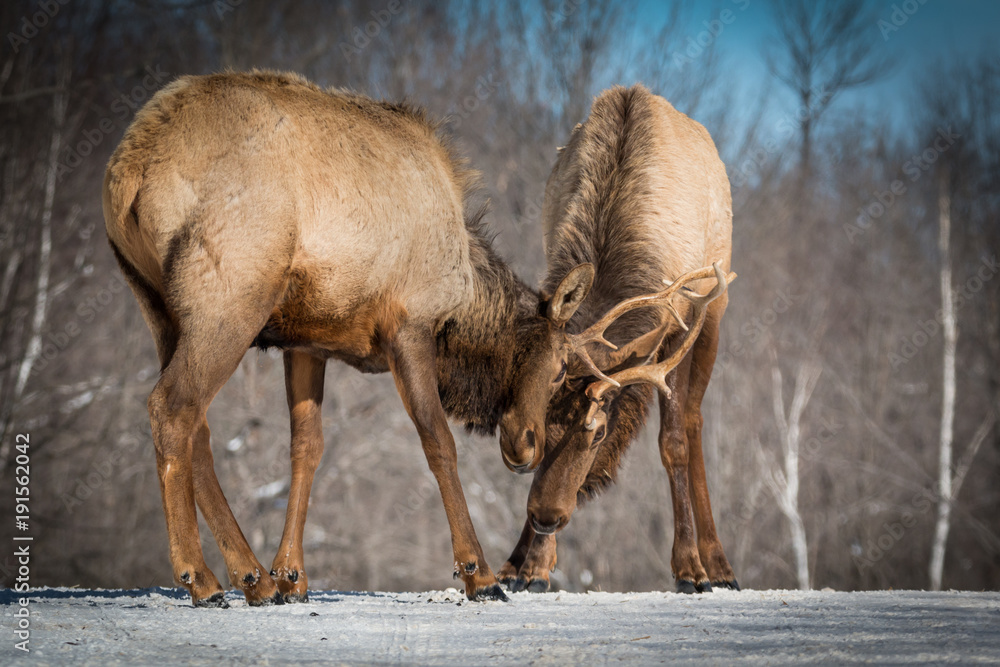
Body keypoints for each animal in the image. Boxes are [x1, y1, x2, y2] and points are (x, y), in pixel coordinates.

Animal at [102, 70, 619, 607]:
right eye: (559, 368)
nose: (526, 447)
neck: (465, 299)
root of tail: (129, 170)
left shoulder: (306, 341)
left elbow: (306, 447)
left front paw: (292, 575)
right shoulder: (409, 324)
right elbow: (438, 441)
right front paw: (479, 573)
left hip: (159, 308)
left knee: (196, 425)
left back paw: (253, 576)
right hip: (229, 302)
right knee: (172, 406)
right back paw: (200, 577)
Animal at [495, 84, 740, 594]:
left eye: (599, 432)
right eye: (539, 428)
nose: (545, 516)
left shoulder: (681, 318)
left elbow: (673, 442)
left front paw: (688, 568)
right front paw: (528, 565)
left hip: (716, 310)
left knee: (693, 420)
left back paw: (718, 564)